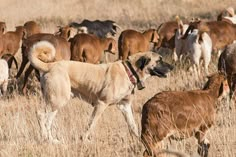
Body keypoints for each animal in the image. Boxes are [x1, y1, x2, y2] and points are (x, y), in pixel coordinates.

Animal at [28, 40, 174, 142]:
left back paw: (52, 140)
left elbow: (132, 125)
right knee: (41, 115)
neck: (129, 71)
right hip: (58, 100)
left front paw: (141, 141)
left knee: (48, 121)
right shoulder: (101, 104)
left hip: (56, 102)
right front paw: (84, 139)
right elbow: (91, 124)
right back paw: (46, 139)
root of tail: (50, 65)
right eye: (159, 60)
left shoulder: (125, 106)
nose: (172, 67)